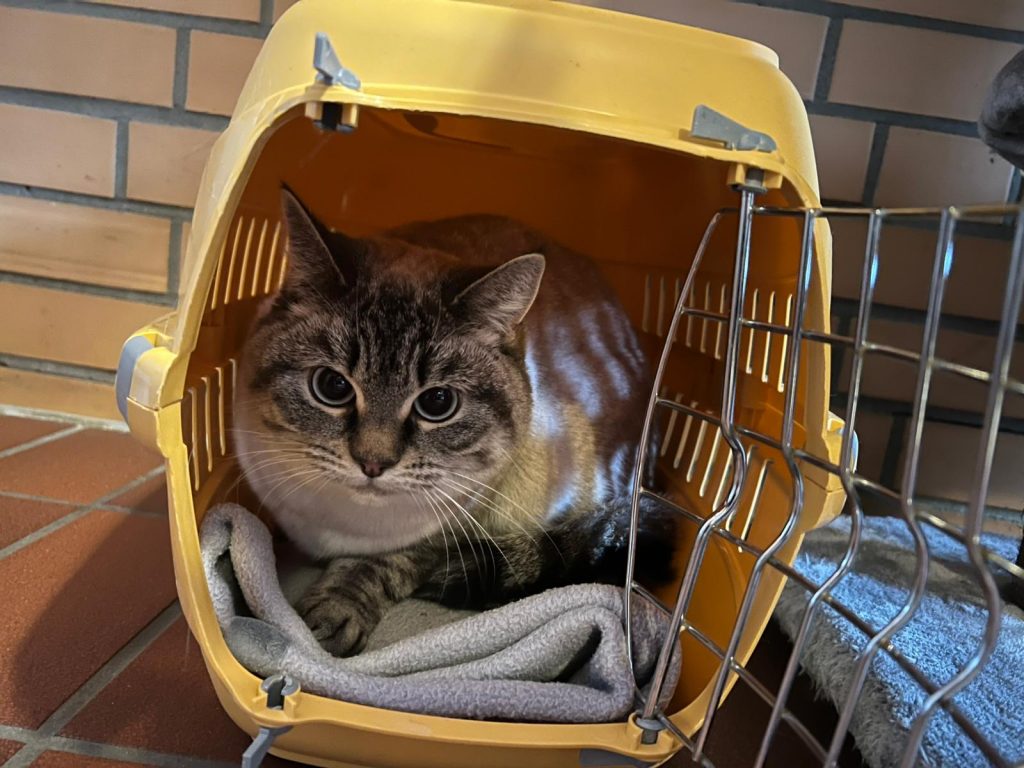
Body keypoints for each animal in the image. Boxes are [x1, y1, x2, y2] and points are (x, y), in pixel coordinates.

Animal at [234, 188, 676, 656]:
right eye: (332, 386)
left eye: (438, 402)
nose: (373, 463)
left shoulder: (449, 528)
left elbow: (381, 562)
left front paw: (331, 616)